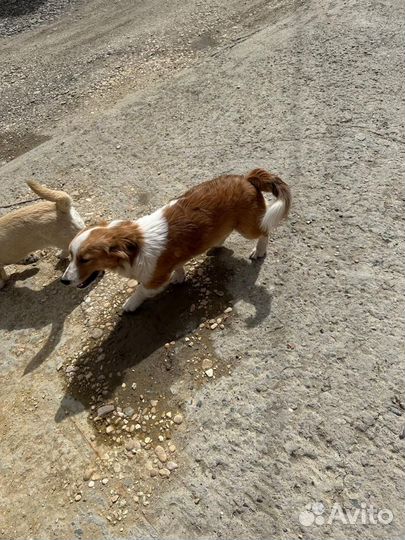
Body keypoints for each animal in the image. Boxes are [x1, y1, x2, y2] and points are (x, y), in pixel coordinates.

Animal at [60, 169, 290, 312]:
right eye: (70, 256)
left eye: (85, 260)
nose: (63, 281)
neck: (134, 245)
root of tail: (247, 178)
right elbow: (178, 265)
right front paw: (180, 275)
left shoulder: (155, 281)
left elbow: (141, 290)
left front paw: (131, 303)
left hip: (247, 227)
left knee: (264, 232)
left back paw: (259, 250)